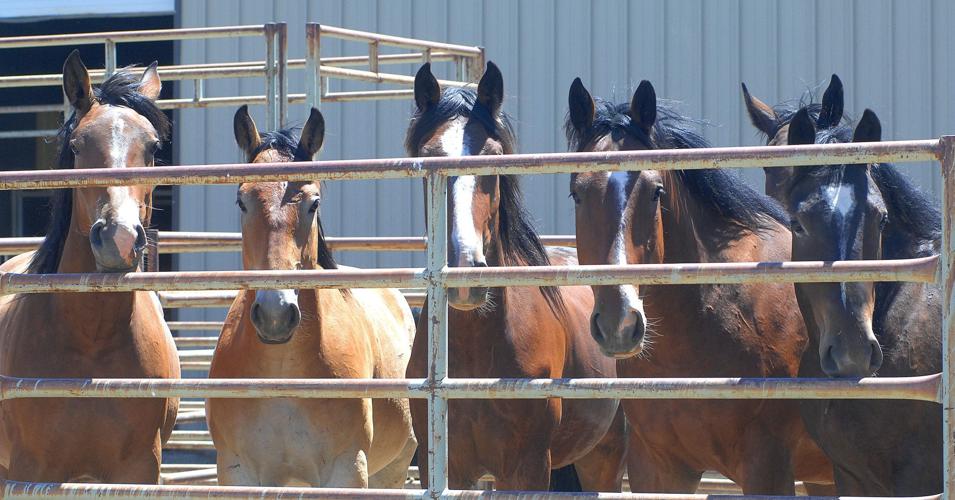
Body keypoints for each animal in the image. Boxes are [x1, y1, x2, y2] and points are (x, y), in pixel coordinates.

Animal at [0, 51, 179, 483]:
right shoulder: (31, 471)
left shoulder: (140, 470)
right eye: (78, 145)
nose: (118, 237)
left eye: (153, 147)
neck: (92, 340)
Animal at [206, 105, 417, 488]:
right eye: (241, 200)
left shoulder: (347, 469)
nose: (275, 314)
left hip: (392, 470)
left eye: (313, 203)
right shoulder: (237, 471)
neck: (282, 372)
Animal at [405, 62, 627, 492]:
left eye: (492, 159)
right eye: (427, 159)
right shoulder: (446, 466)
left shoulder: (528, 467)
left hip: (606, 457)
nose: (464, 267)